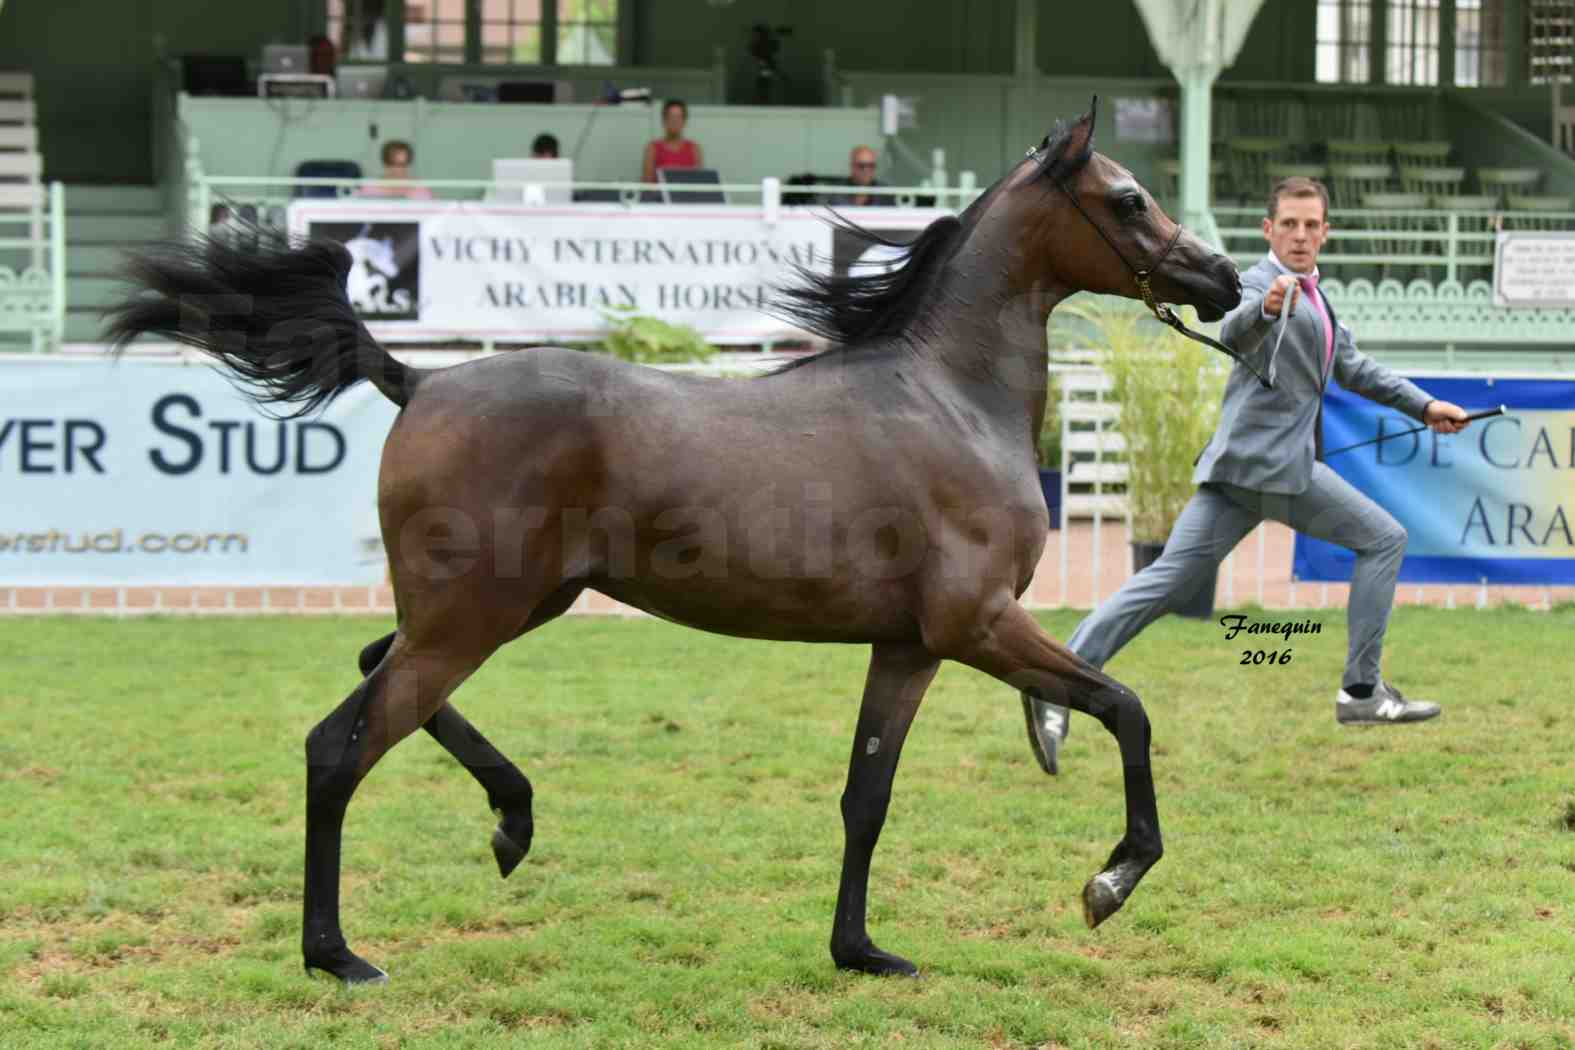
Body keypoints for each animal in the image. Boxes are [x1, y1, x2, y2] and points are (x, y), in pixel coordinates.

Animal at [111, 102, 1241, 982]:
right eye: (1128, 199)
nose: (1224, 279)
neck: (947, 396)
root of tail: (420, 380)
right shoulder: (980, 626)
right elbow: (1125, 709)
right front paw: (1109, 881)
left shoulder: (909, 646)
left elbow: (865, 797)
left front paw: (861, 951)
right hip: (473, 618)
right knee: (339, 745)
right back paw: (337, 953)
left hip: (506, 608)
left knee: (371, 669)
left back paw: (513, 819)